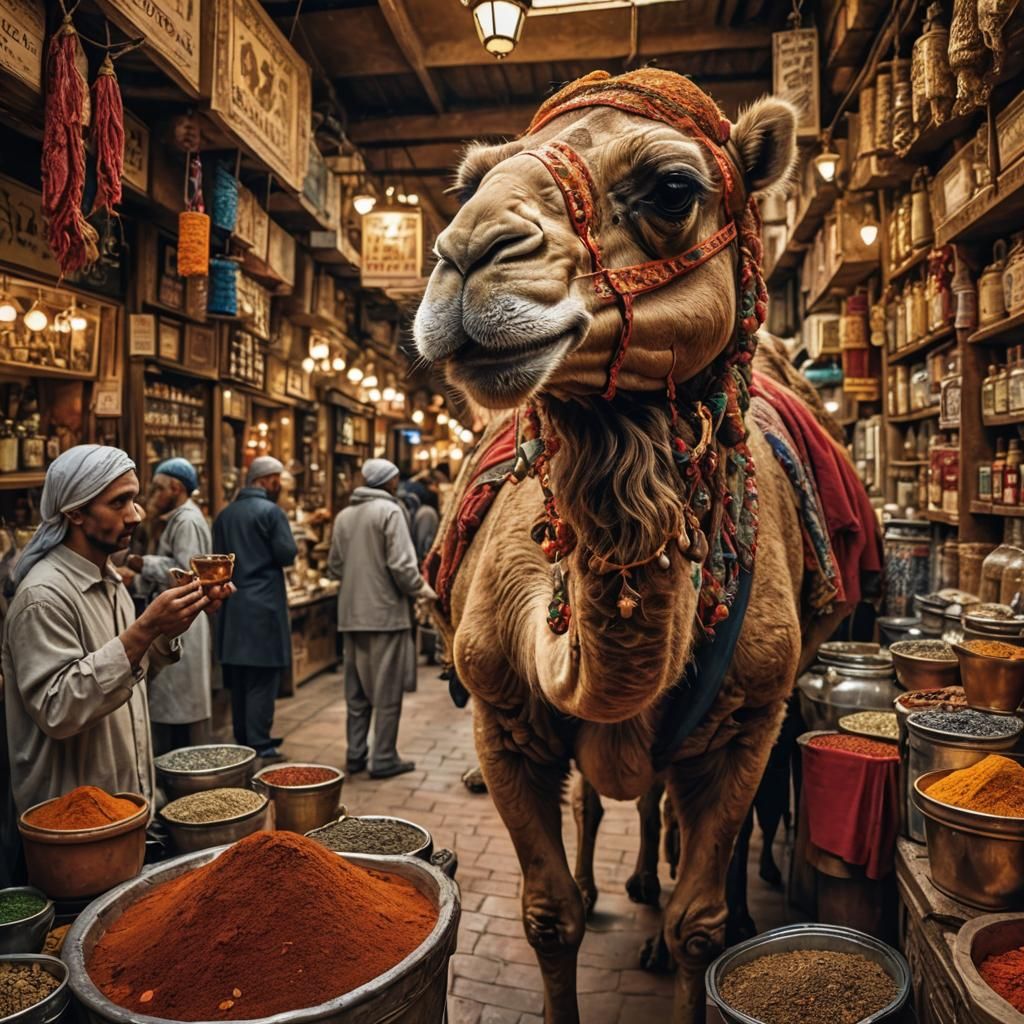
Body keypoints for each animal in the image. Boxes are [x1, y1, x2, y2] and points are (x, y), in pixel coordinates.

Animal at [414, 69, 853, 1022]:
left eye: (673, 189)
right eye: (468, 185)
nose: (466, 256)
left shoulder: (749, 719)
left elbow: (701, 923)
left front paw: (688, 928)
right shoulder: (503, 719)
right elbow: (548, 916)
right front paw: (579, 902)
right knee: (611, 805)